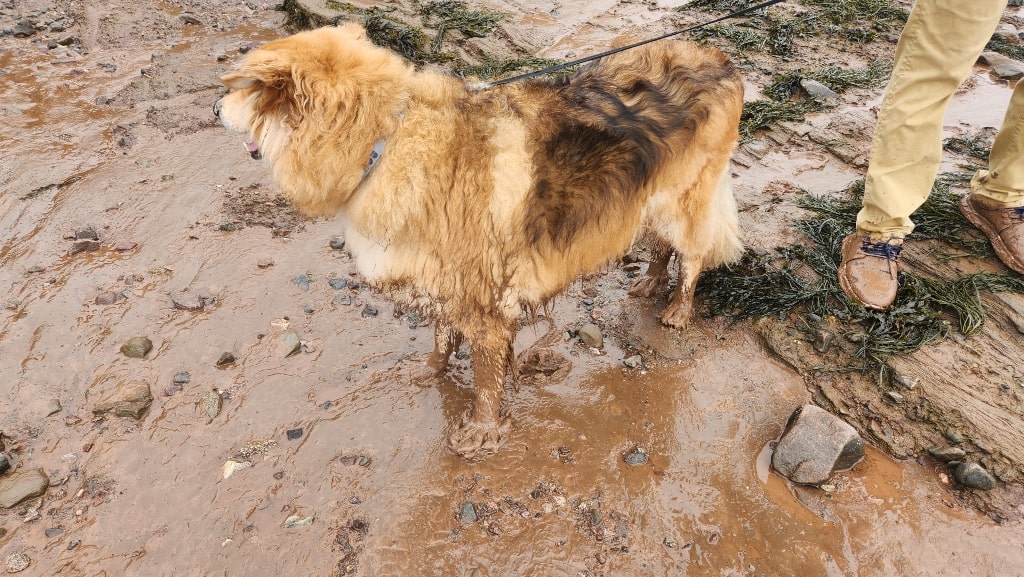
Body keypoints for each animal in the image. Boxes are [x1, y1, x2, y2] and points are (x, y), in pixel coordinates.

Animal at [216, 23, 745, 461]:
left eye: (244, 90)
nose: (212, 107)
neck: (386, 139)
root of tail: (718, 57)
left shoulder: (486, 303)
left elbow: (487, 377)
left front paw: (483, 431)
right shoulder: (445, 279)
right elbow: (441, 335)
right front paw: (430, 371)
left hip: (686, 199)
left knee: (692, 255)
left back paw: (677, 308)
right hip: (651, 199)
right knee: (661, 245)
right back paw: (652, 282)